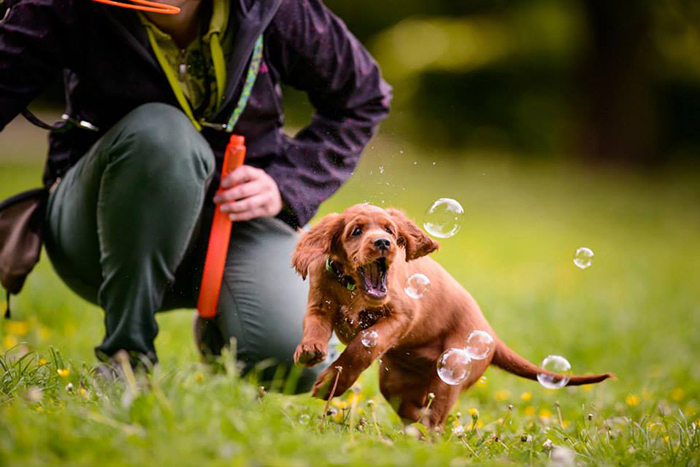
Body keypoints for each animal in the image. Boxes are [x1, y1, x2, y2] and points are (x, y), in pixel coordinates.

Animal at [292, 203, 608, 430]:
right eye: (356, 231)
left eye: (390, 231)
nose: (383, 243)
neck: (352, 288)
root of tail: (491, 336)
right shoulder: (319, 304)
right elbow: (315, 326)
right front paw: (310, 351)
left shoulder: (403, 315)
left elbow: (363, 346)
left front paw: (330, 383)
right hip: (395, 383)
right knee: (414, 411)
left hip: (454, 369)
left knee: (434, 421)